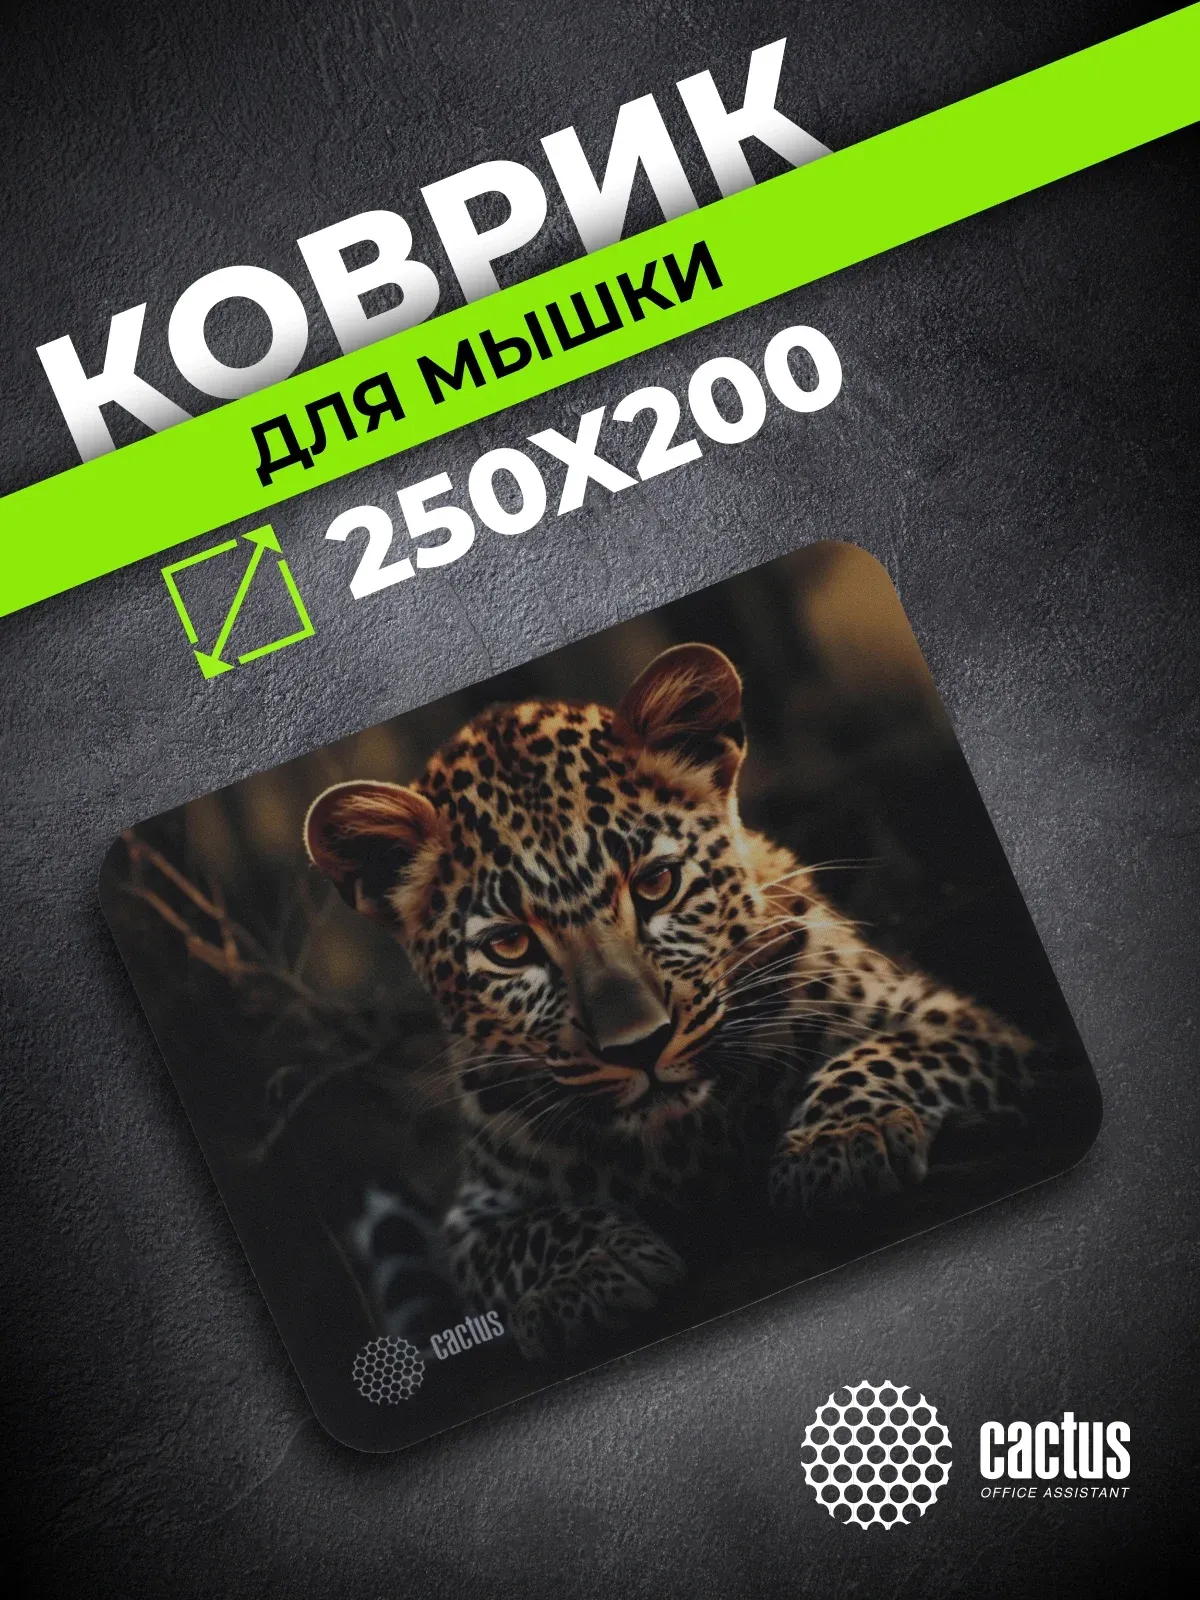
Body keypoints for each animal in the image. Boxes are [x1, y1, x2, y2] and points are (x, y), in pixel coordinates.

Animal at [306, 643, 1035, 1362]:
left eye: (655, 883)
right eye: (510, 946)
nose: (641, 1048)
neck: (691, 1142)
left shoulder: (963, 1024)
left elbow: (880, 1056)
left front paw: (839, 1141)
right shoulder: (475, 1213)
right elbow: (521, 1237)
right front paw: (589, 1270)